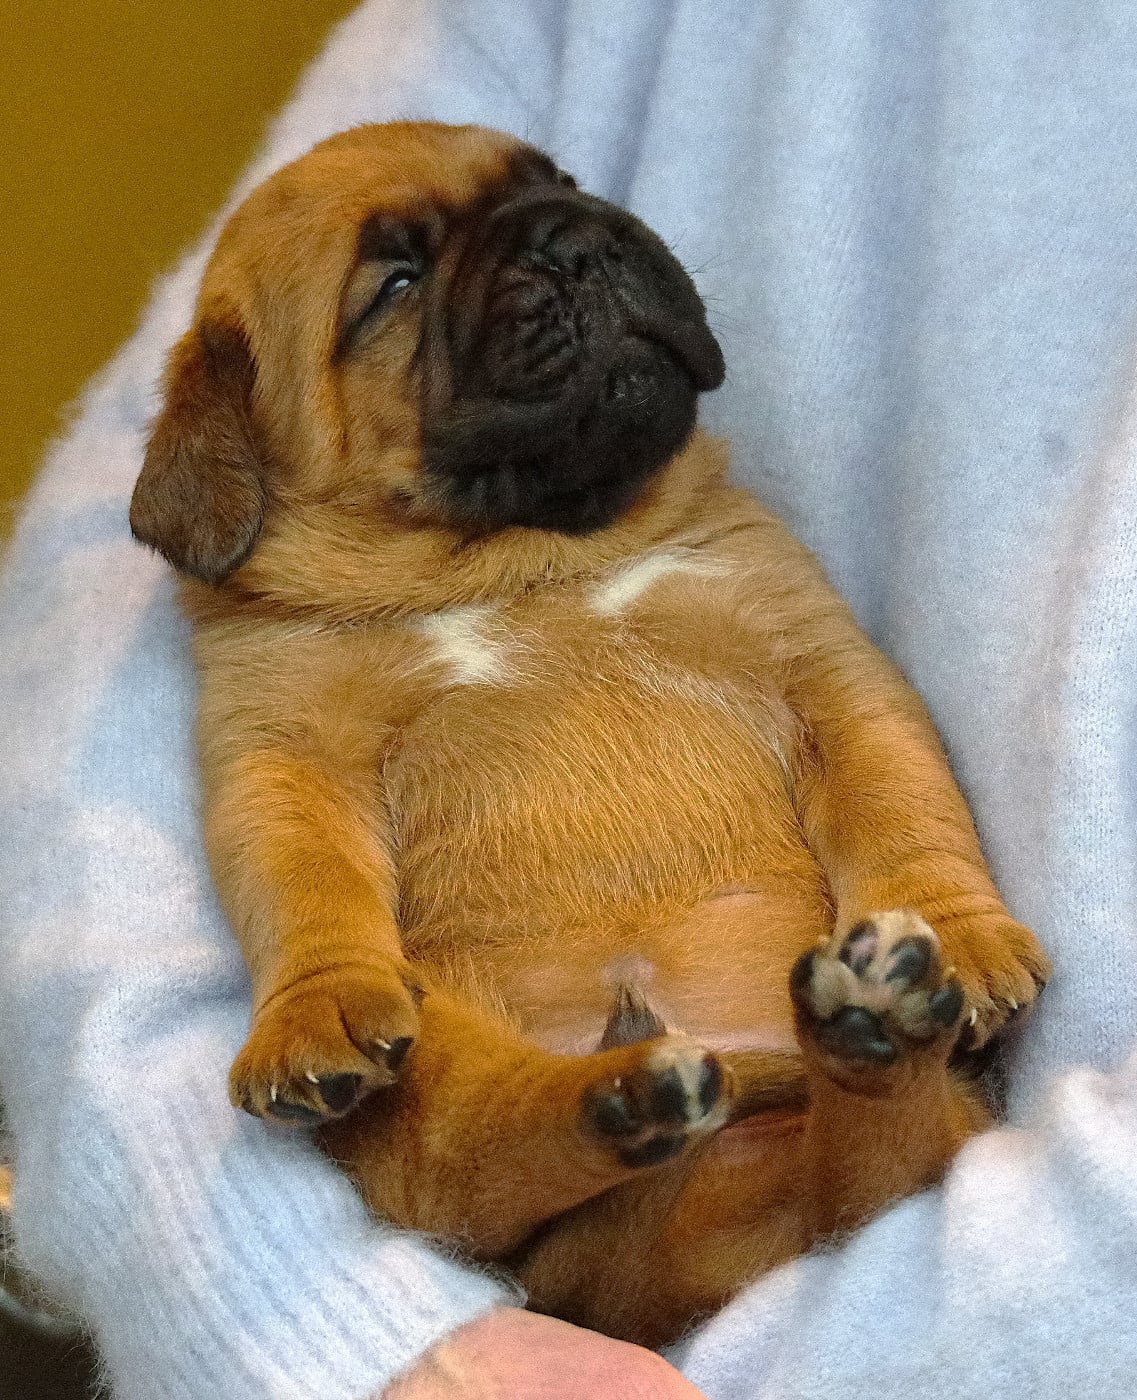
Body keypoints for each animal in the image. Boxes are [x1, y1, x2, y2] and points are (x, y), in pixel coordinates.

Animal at [130, 121, 1049, 1348]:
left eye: (552, 181)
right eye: (396, 282)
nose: (576, 235)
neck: (530, 558)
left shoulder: (823, 667)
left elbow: (900, 795)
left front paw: (959, 928)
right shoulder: (282, 757)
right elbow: (305, 883)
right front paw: (314, 999)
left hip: (905, 1136)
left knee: (881, 1178)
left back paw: (870, 1024)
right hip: (440, 1074)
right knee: (492, 1139)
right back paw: (642, 1091)